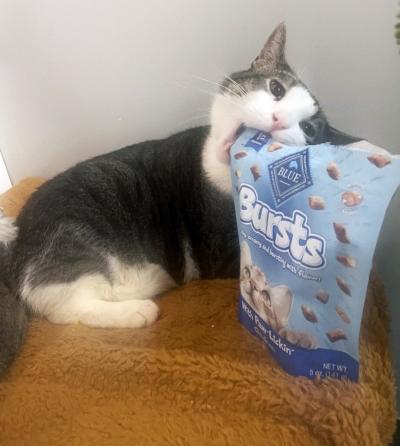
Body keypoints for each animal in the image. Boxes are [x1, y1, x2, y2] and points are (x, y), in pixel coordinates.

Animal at [0, 23, 360, 372]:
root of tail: (17, 242)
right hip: (73, 232)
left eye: (309, 131)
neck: (214, 169)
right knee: (62, 305)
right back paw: (136, 310)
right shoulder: (217, 250)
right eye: (276, 89)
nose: (279, 120)